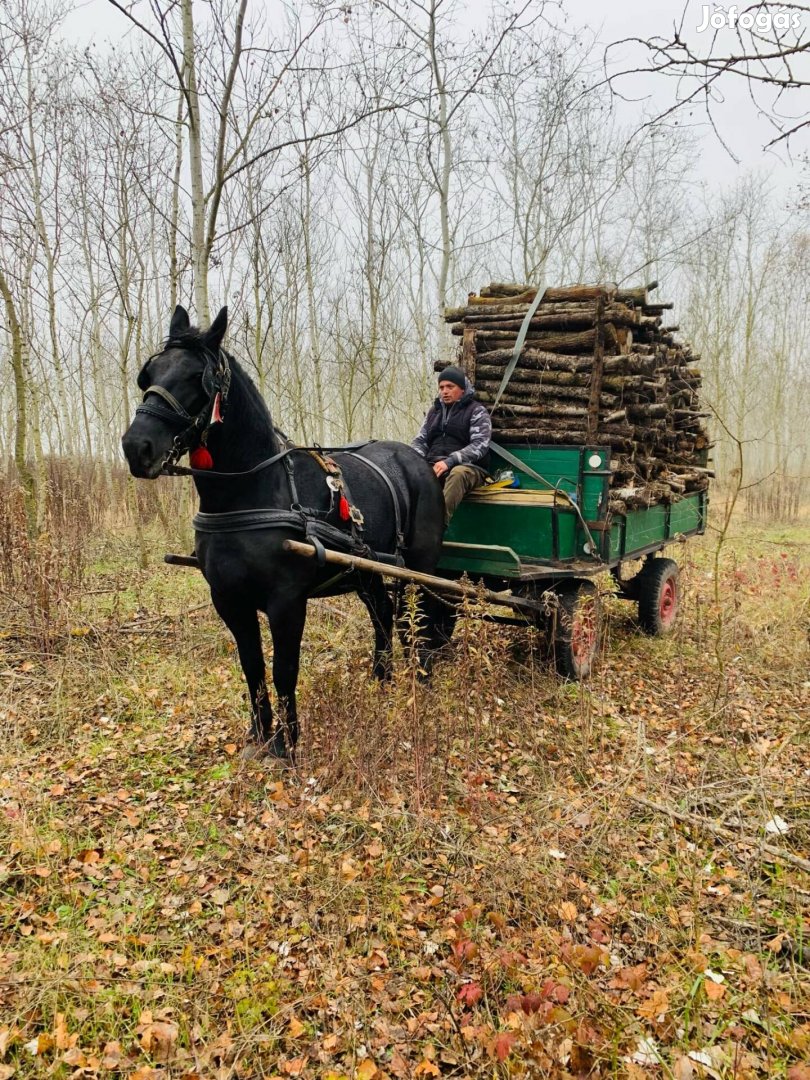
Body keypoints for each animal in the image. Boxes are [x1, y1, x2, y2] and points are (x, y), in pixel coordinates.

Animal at [123, 304, 447, 760]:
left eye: (196, 377)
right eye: (149, 374)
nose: (137, 448)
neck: (250, 493)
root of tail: (418, 460)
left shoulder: (286, 601)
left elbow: (283, 670)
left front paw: (286, 744)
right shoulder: (229, 600)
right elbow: (253, 668)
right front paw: (258, 734)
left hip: (422, 566)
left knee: (423, 617)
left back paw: (423, 675)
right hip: (368, 570)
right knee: (385, 615)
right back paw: (382, 681)